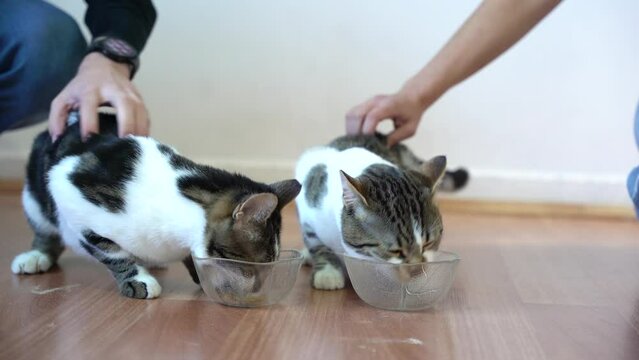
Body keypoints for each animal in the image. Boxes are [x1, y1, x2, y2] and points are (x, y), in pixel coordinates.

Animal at [10, 114, 300, 300]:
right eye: (252, 268)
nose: (257, 289)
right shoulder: (67, 187)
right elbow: (112, 252)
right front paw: (138, 279)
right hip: (35, 196)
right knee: (46, 230)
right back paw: (36, 256)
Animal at [296, 134, 450, 292]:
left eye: (429, 243)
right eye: (395, 251)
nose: (416, 271)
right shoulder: (308, 208)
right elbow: (317, 244)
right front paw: (328, 273)